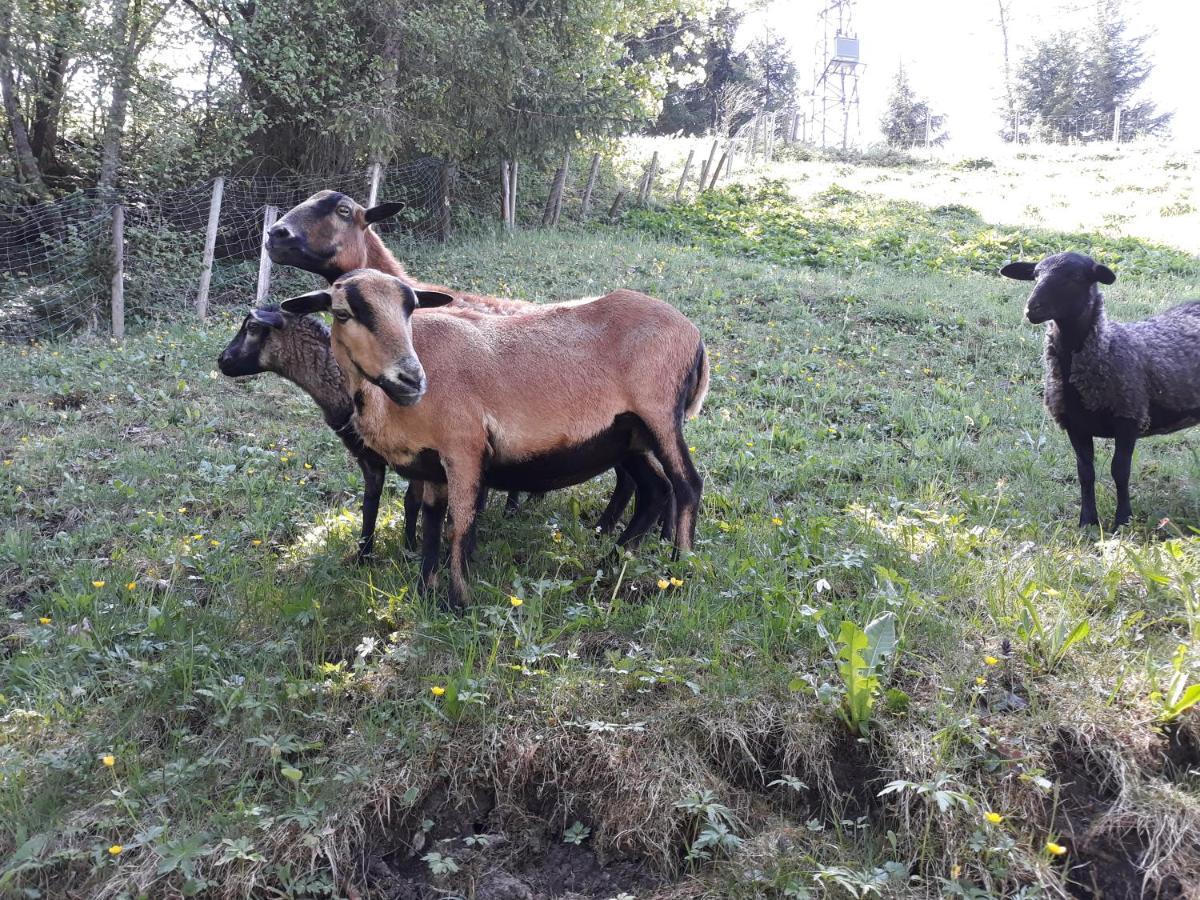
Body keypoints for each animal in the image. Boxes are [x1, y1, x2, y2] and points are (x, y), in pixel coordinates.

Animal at [279, 271, 700, 614]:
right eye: (342, 313)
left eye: (410, 310)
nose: (411, 379)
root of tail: (693, 333)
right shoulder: (432, 465)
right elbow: (432, 523)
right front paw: (424, 593)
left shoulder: (464, 448)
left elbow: (461, 525)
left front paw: (459, 603)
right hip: (627, 436)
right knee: (655, 488)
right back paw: (611, 561)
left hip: (660, 415)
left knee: (686, 484)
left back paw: (678, 571)